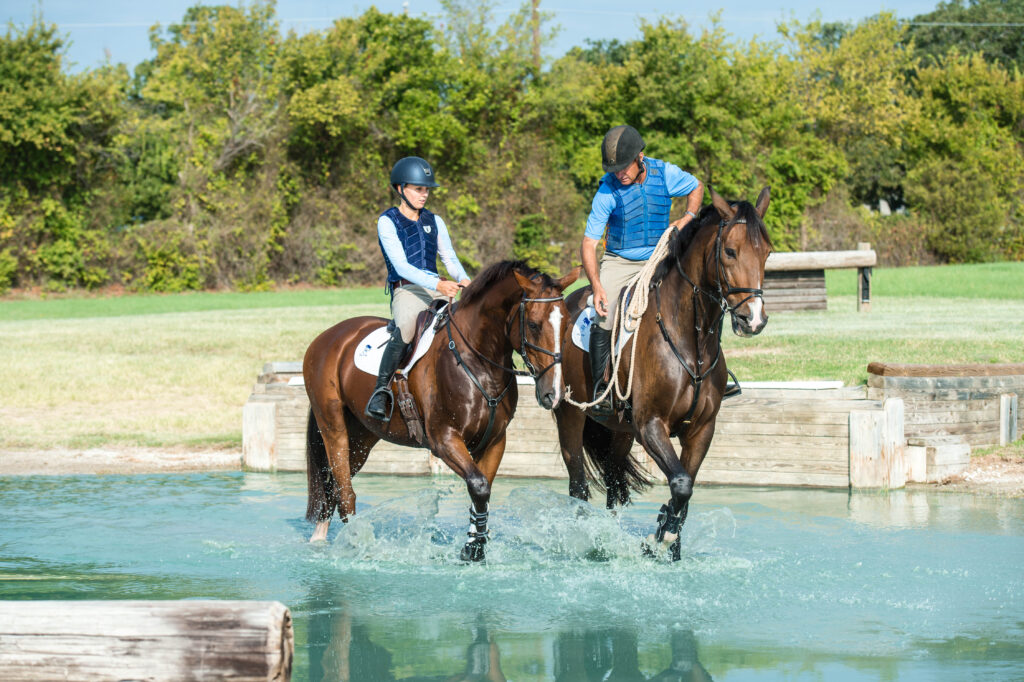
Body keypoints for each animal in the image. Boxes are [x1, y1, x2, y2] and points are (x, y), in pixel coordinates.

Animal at [303, 260, 580, 561]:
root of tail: (328, 337)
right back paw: (357, 545)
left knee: (333, 486)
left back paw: (321, 539)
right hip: (334, 428)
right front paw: (474, 549)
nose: (553, 394)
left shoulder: (494, 441)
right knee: (345, 491)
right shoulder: (444, 439)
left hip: (363, 436)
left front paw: (474, 546)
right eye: (533, 324)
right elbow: (479, 486)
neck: (480, 362)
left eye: (566, 324)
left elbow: (481, 492)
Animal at [553, 188, 772, 560]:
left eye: (767, 253)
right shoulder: (651, 425)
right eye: (730, 251)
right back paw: (583, 540)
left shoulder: (700, 429)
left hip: (621, 430)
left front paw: (668, 535)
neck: (690, 339)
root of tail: (572, 300)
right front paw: (663, 535)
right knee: (578, 485)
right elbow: (681, 484)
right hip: (570, 415)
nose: (753, 320)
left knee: (614, 480)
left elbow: (685, 486)